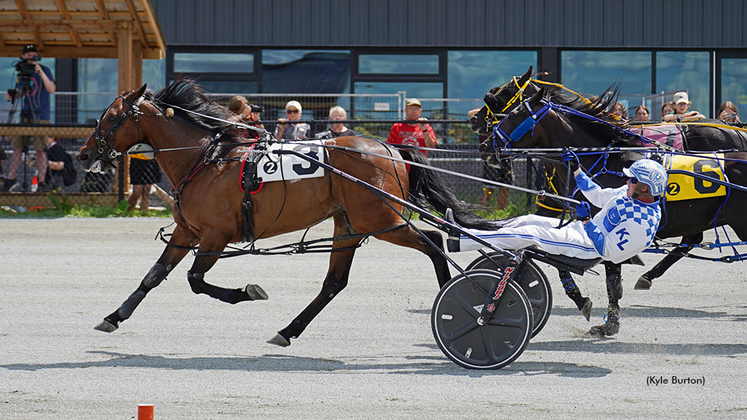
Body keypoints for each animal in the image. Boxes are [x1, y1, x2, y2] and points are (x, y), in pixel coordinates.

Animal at [76, 80, 496, 346]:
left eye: (110, 117)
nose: (82, 154)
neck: (207, 159)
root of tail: (391, 149)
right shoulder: (187, 232)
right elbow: (153, 276)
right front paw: (114, 316)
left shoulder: (215, 235)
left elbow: (196, 280)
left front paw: (247, 291)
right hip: (349, 225)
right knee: (334, 283)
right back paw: (288, 330)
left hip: (382, 221)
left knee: (435, 241)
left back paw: (454, 300)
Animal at [488, 88, 747, 334]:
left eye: (513, 113)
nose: (487, 144)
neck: (606, 159)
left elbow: (610, 280)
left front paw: (608, 324)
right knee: (691, 240)